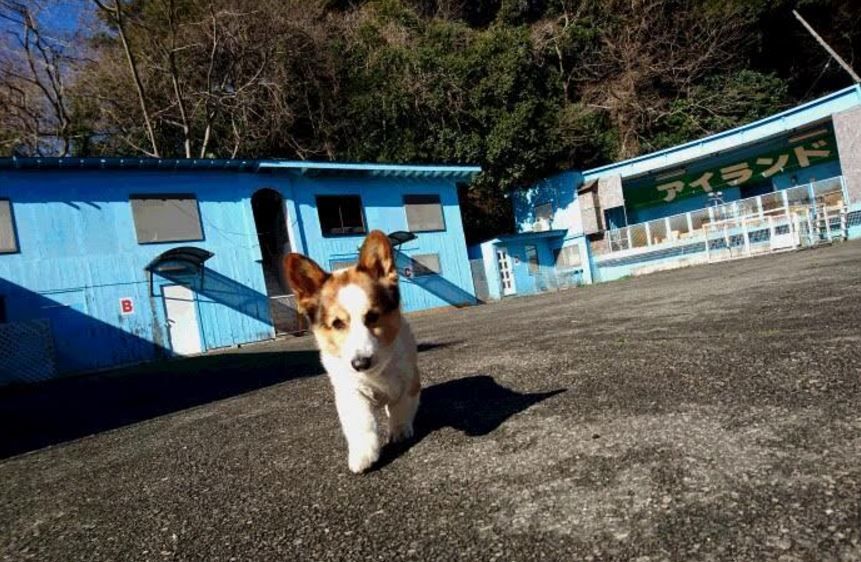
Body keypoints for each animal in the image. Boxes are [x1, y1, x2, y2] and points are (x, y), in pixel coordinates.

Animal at [286, 230, 420, 470]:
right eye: (337, 323)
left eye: (373, 317)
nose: (360, 364)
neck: (376, 373)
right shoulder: (350, 391)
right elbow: (361, 422)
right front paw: (363, 455)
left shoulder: (410, 381)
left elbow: (401, 406)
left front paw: (400, 430)